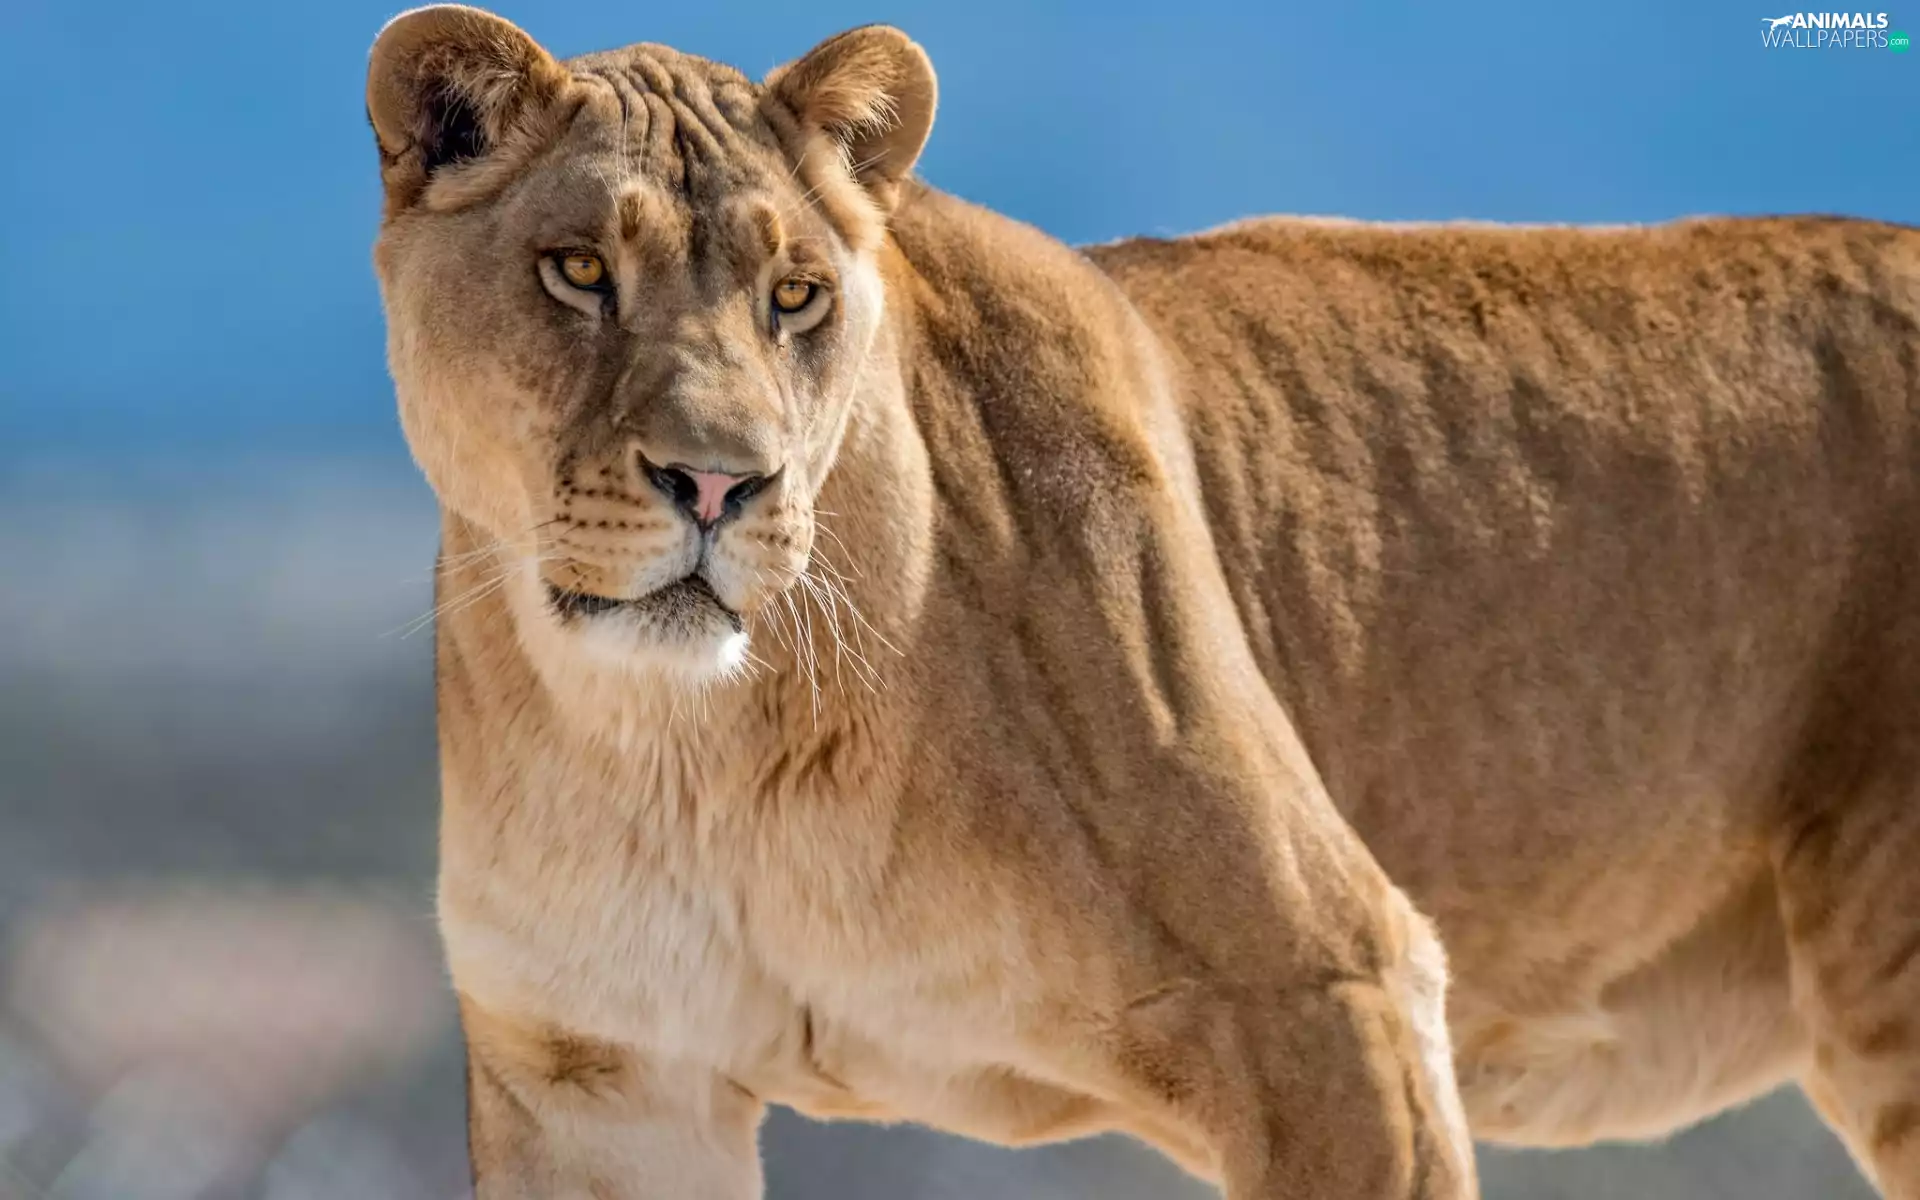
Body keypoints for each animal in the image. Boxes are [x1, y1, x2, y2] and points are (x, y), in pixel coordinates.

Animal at [365, 7, 1920, 1198]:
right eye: (579, 271)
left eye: (795, 296)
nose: (719, 482)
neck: (692, 752)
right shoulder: (598, 1075)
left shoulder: (1336, 994)